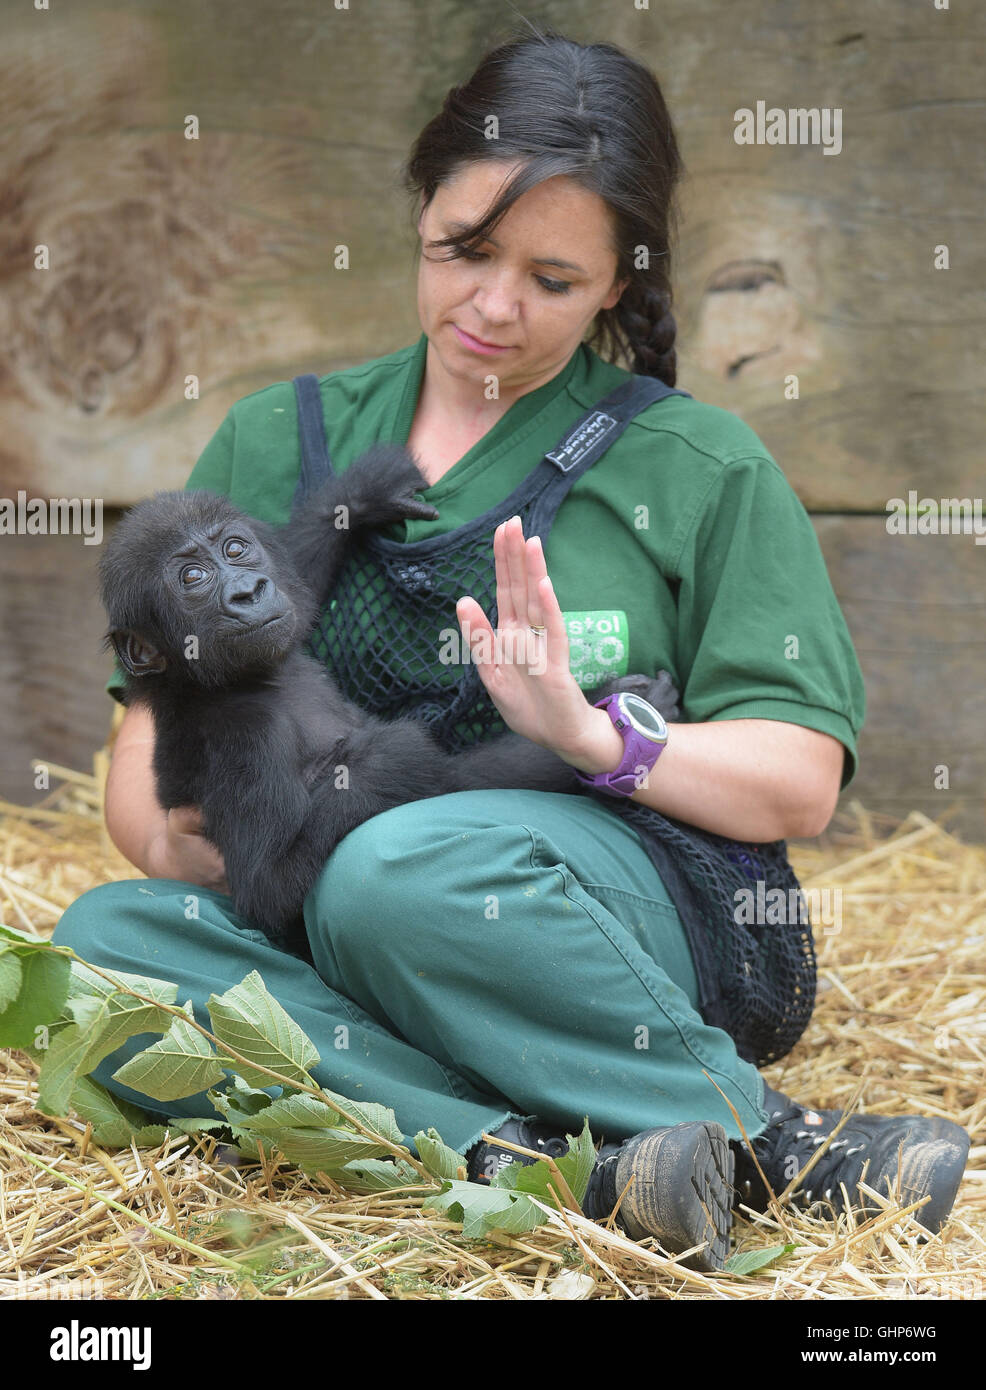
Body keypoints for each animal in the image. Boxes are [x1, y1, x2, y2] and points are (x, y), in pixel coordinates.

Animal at [103, 447, 681, 934]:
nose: (248, 591)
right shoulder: (242, 737)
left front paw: (359, 497)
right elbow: (266, 888)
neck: (237, 682)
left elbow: (301, 580)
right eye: (193, 577)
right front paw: (393, 755)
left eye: (236, 548)